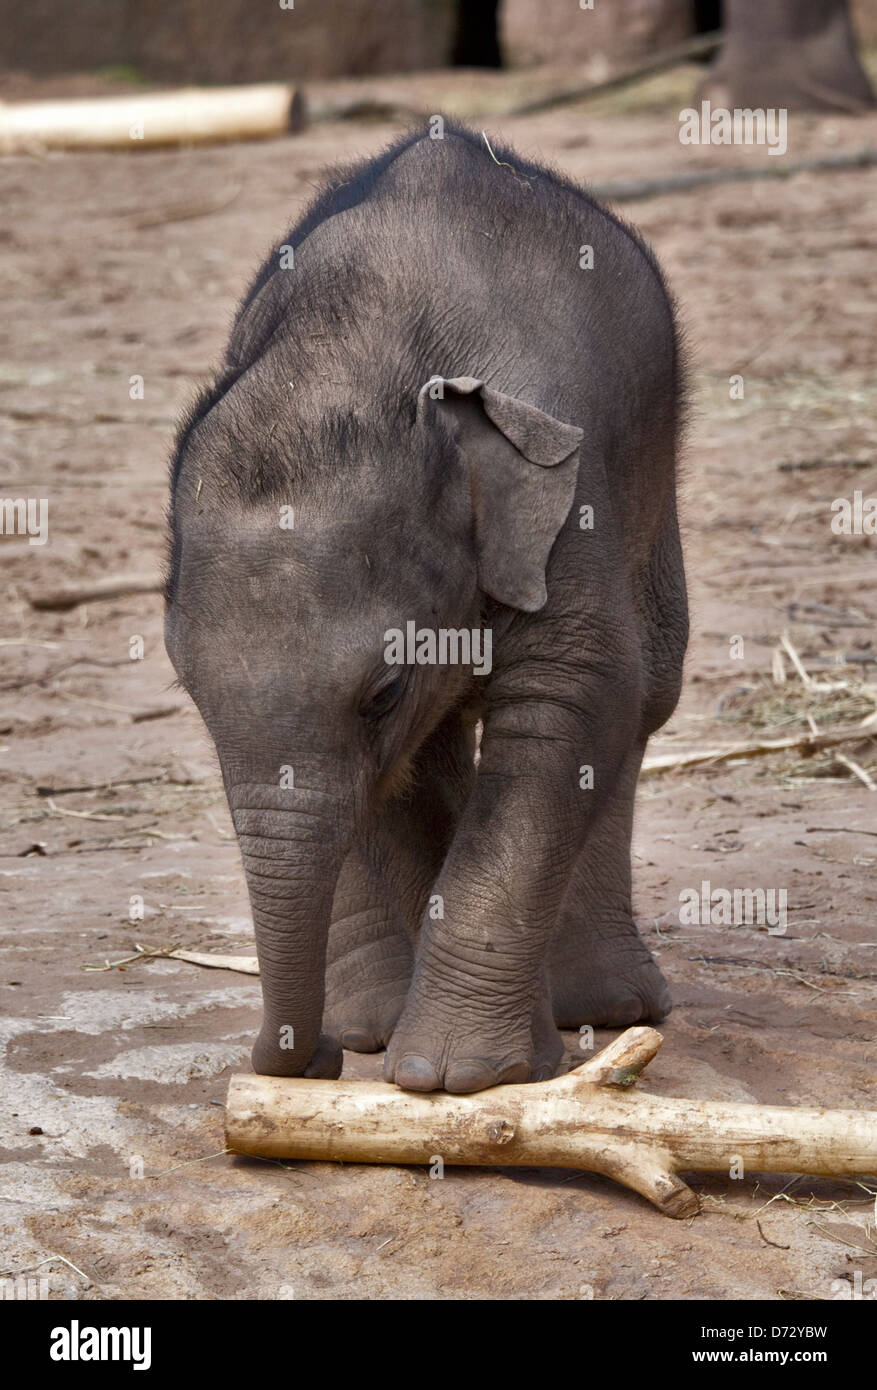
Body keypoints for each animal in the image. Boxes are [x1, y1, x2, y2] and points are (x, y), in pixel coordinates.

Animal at [164, 123, 688, 1094]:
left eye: (381, 693)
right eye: (194, 700)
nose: (314, 1060)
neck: (358, 357)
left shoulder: (571, 505)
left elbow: (577, 699)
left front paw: (457, 1077)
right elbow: (404, 784)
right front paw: (440, 1057)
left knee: (646, 696)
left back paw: (604, 1009)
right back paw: (378, 1018)